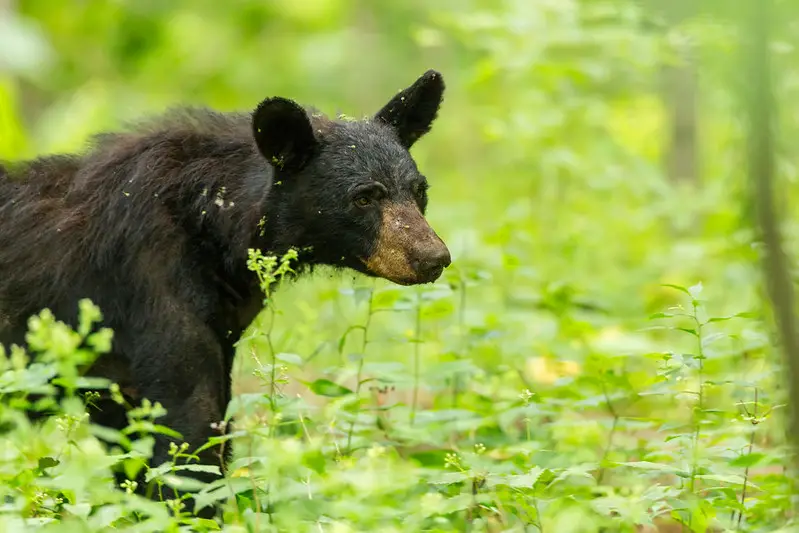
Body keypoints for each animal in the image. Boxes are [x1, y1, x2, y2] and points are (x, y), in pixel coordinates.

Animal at [0, 69, 450, 516]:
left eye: (419, 190)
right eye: (363, 197)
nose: (434, 257)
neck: (211, 225)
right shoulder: (151, 285)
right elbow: (188, 429)